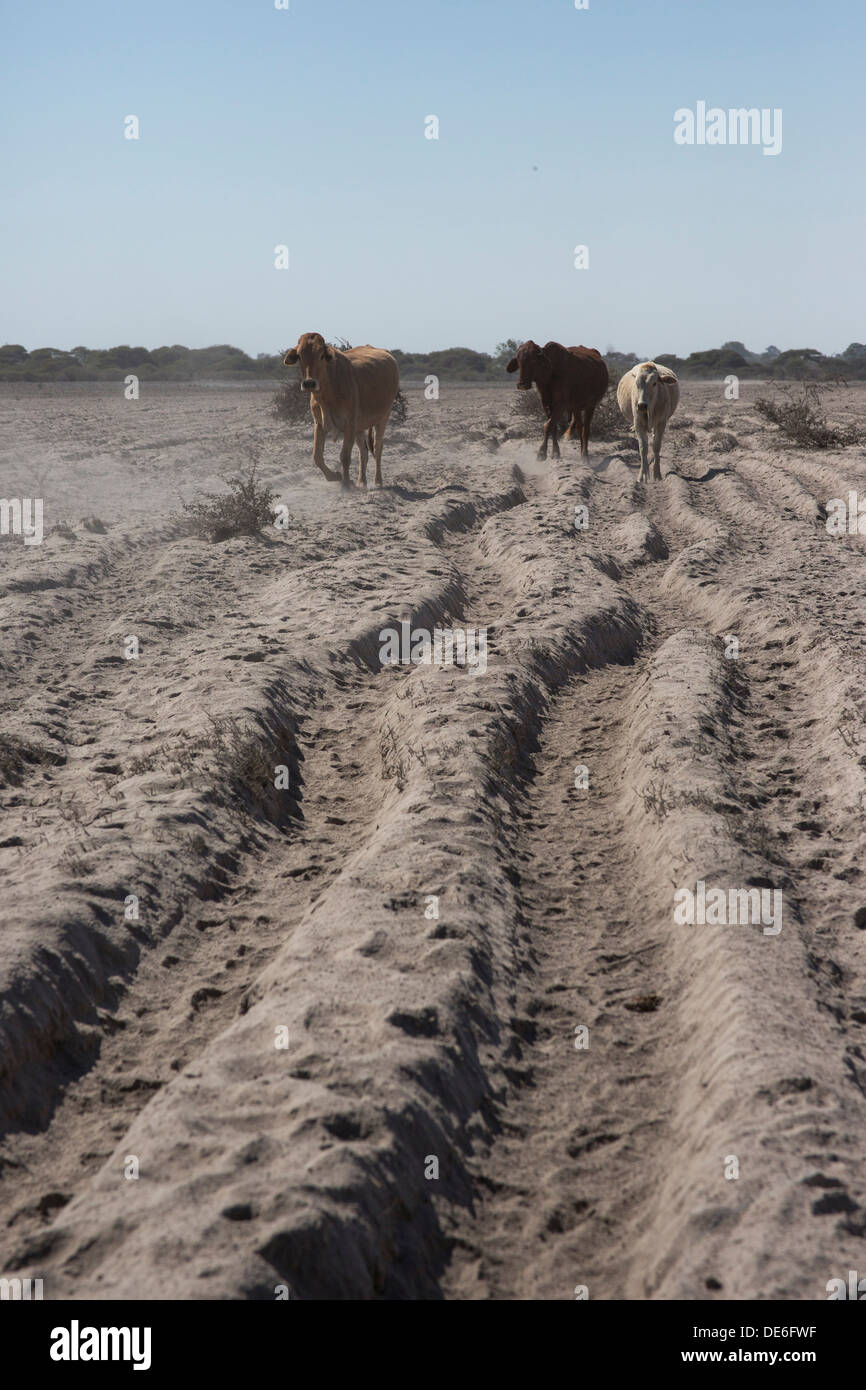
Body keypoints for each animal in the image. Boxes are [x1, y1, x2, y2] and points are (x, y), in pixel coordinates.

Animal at [284, 332, 400, 489]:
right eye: (300, 355)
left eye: (321, 355)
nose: (309, 383)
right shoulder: (319, 424)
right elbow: (317, 456)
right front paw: (334, 476)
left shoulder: (349, 424)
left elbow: (344, 456)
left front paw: (345, 484)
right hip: (360, 427)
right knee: (363, 451)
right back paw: (361, 481)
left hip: (383, 417)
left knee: (377, 448)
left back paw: (377, 481)